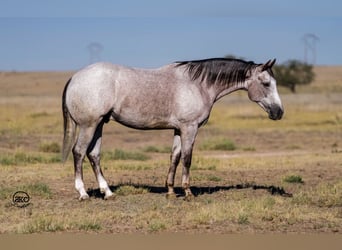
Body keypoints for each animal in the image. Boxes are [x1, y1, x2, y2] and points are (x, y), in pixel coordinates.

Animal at [61, 57, 284, 200]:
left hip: (99, 124)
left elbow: (174, 157)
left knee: (94, 155)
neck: (198, 85)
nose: (279, 112)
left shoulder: (178, 129)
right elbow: (187, 158)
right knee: (79, 152)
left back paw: (107, 192)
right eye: (266, 83)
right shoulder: (190, 128)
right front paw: (187, 192)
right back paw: (83, 193)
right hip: (89, 125)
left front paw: (170, 191)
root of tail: (74, 77)